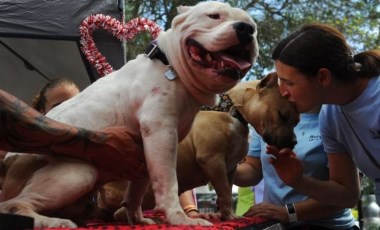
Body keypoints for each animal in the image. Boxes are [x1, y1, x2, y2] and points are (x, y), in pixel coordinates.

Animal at [0, 1, 258, 228]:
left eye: (252, 26)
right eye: (214, 16)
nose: (246, 29)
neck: (170, 66)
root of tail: (8, 167)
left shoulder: (144, 151)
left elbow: (137, 191)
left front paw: (138, 219)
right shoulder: (161, 135)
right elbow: (168, 183)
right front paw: (180, 219)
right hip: (78, 173)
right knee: (13, 204)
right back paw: (54, 222)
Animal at [98, 73, 300, 222]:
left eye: (296, 121)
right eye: (282, 115)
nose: (293, 142)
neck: (232, 112)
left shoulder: (230, 168)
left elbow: (225, 191)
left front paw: (226, 215)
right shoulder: (212, 159)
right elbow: (225, 191)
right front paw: (231, 217)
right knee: (123, 211)